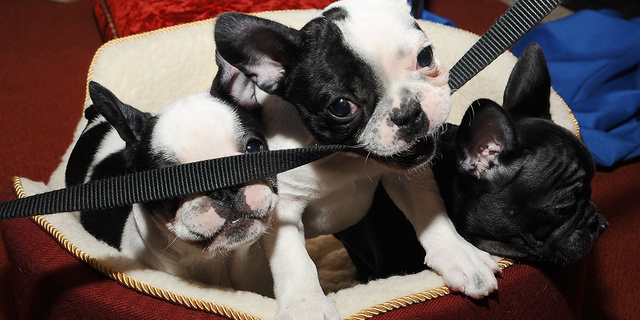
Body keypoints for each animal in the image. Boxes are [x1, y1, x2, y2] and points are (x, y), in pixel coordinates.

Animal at [214, 0, 500, 318]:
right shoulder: (284, 205)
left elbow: (429, 211)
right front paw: (306, 304)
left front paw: (460, 256)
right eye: (341, 107)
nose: (409, 113)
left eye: (425, 56)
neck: (343, 158)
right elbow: (294, 260)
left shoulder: (407, 176)